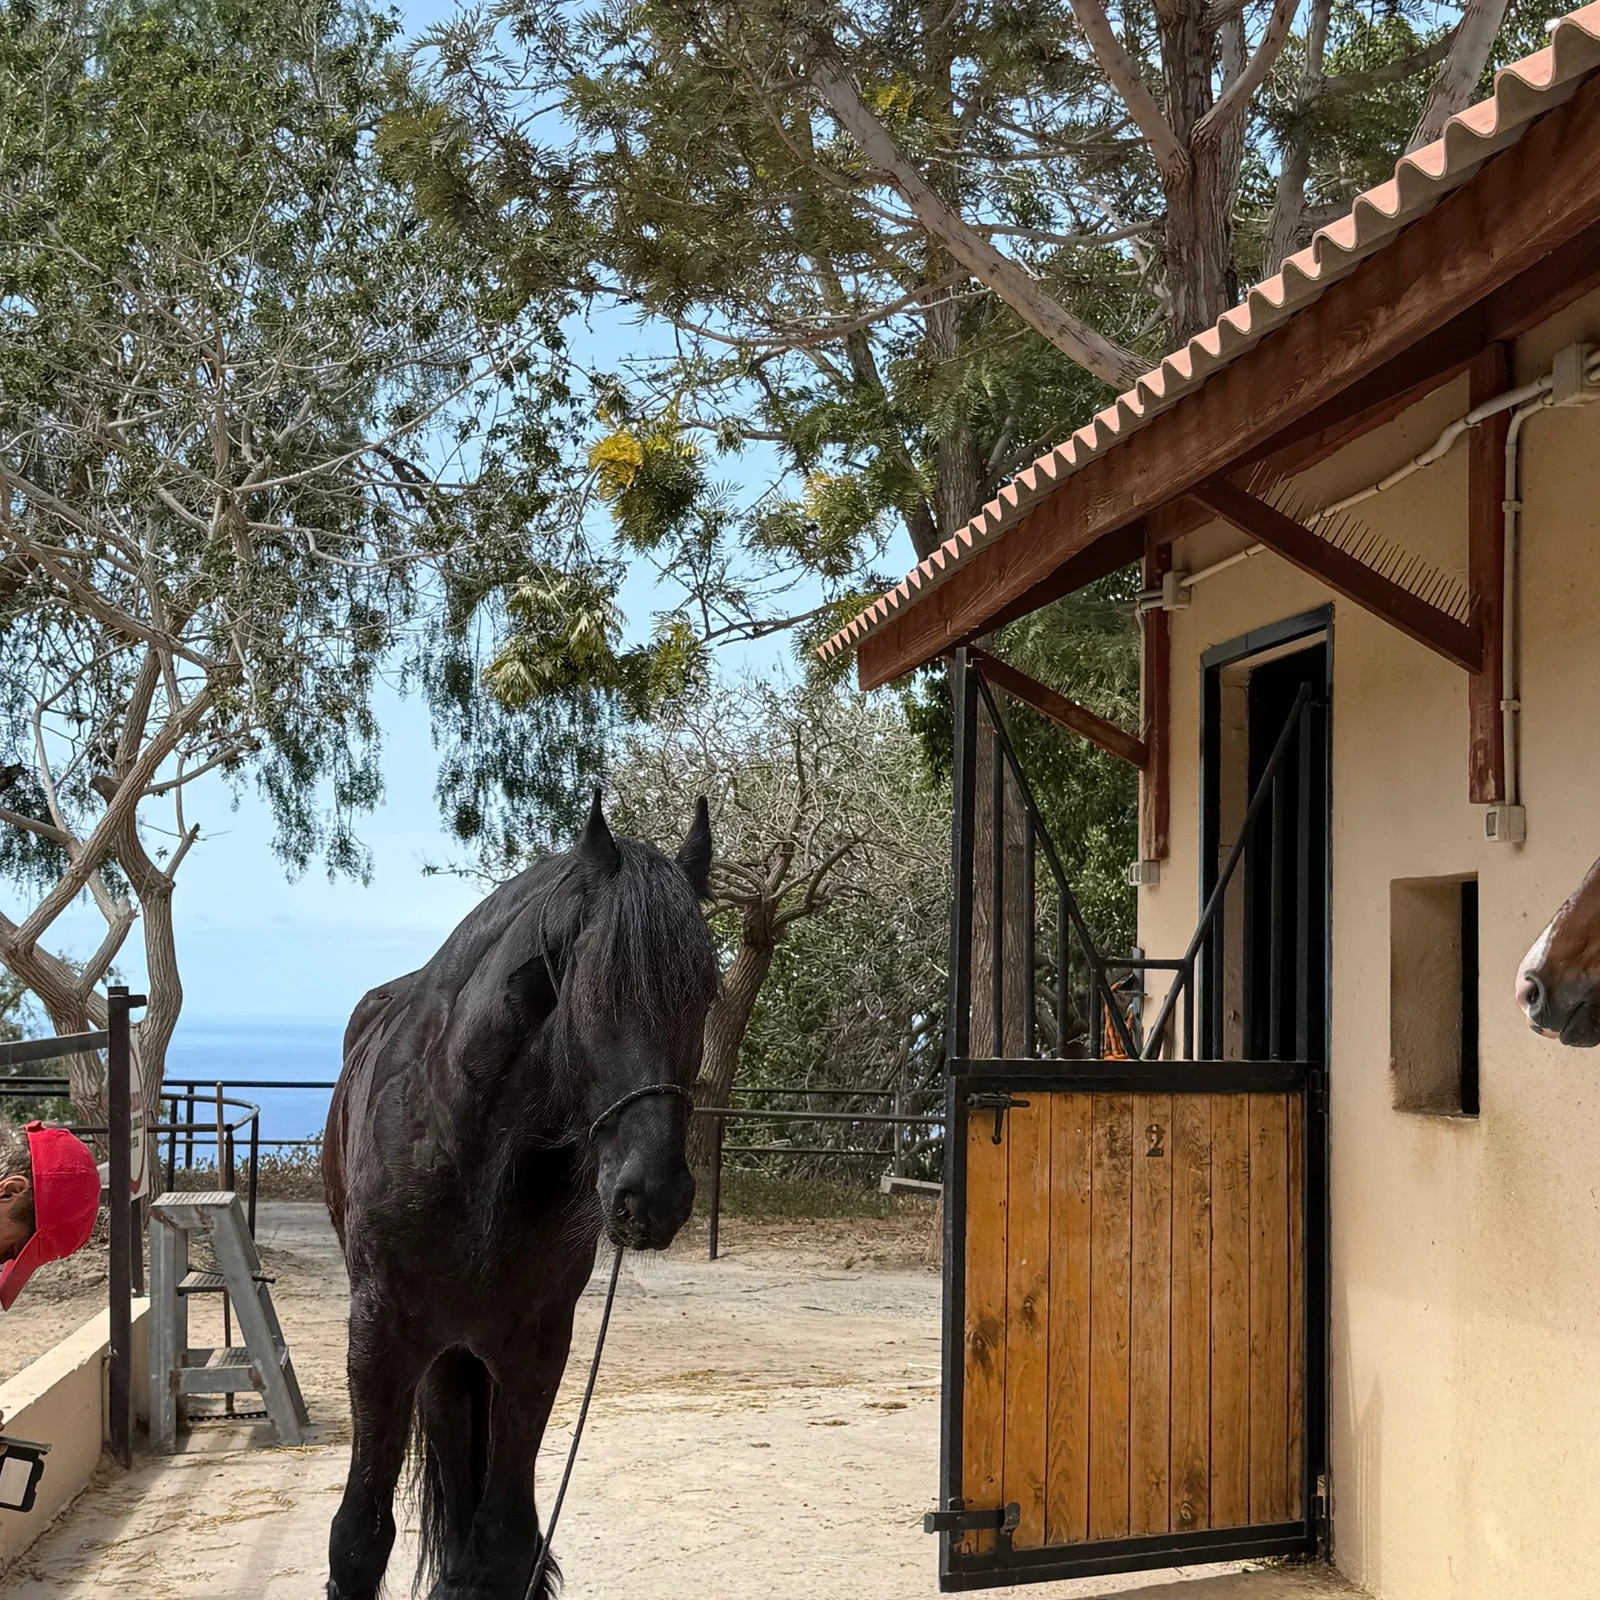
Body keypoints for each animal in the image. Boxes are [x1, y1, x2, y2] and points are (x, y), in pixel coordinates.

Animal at [322, 792, 717, 1600]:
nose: (652, 1195)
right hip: (436, 1350)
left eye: (706, 991)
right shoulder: (380, 1339)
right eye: (597, 988)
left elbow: (505, 1544)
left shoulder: (535, 1350)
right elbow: (359, 1541)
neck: (469, 1150)